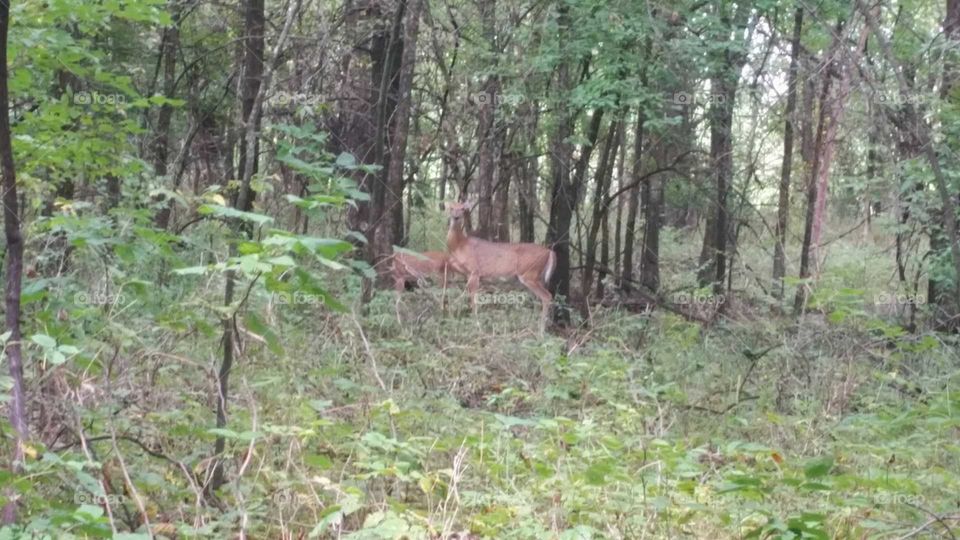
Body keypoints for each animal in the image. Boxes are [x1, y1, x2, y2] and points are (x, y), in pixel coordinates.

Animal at [444, 200, 556, 332]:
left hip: (529, 273)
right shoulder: (467, 274)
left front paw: (477, 325)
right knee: (541, 298)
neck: (459, 245)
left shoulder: (475, 271)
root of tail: (549, 252)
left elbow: (473, 299)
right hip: (538, 277)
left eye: (462, 209)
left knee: (547, 296)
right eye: (451, 208)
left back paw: (541, 331)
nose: (456, 217)